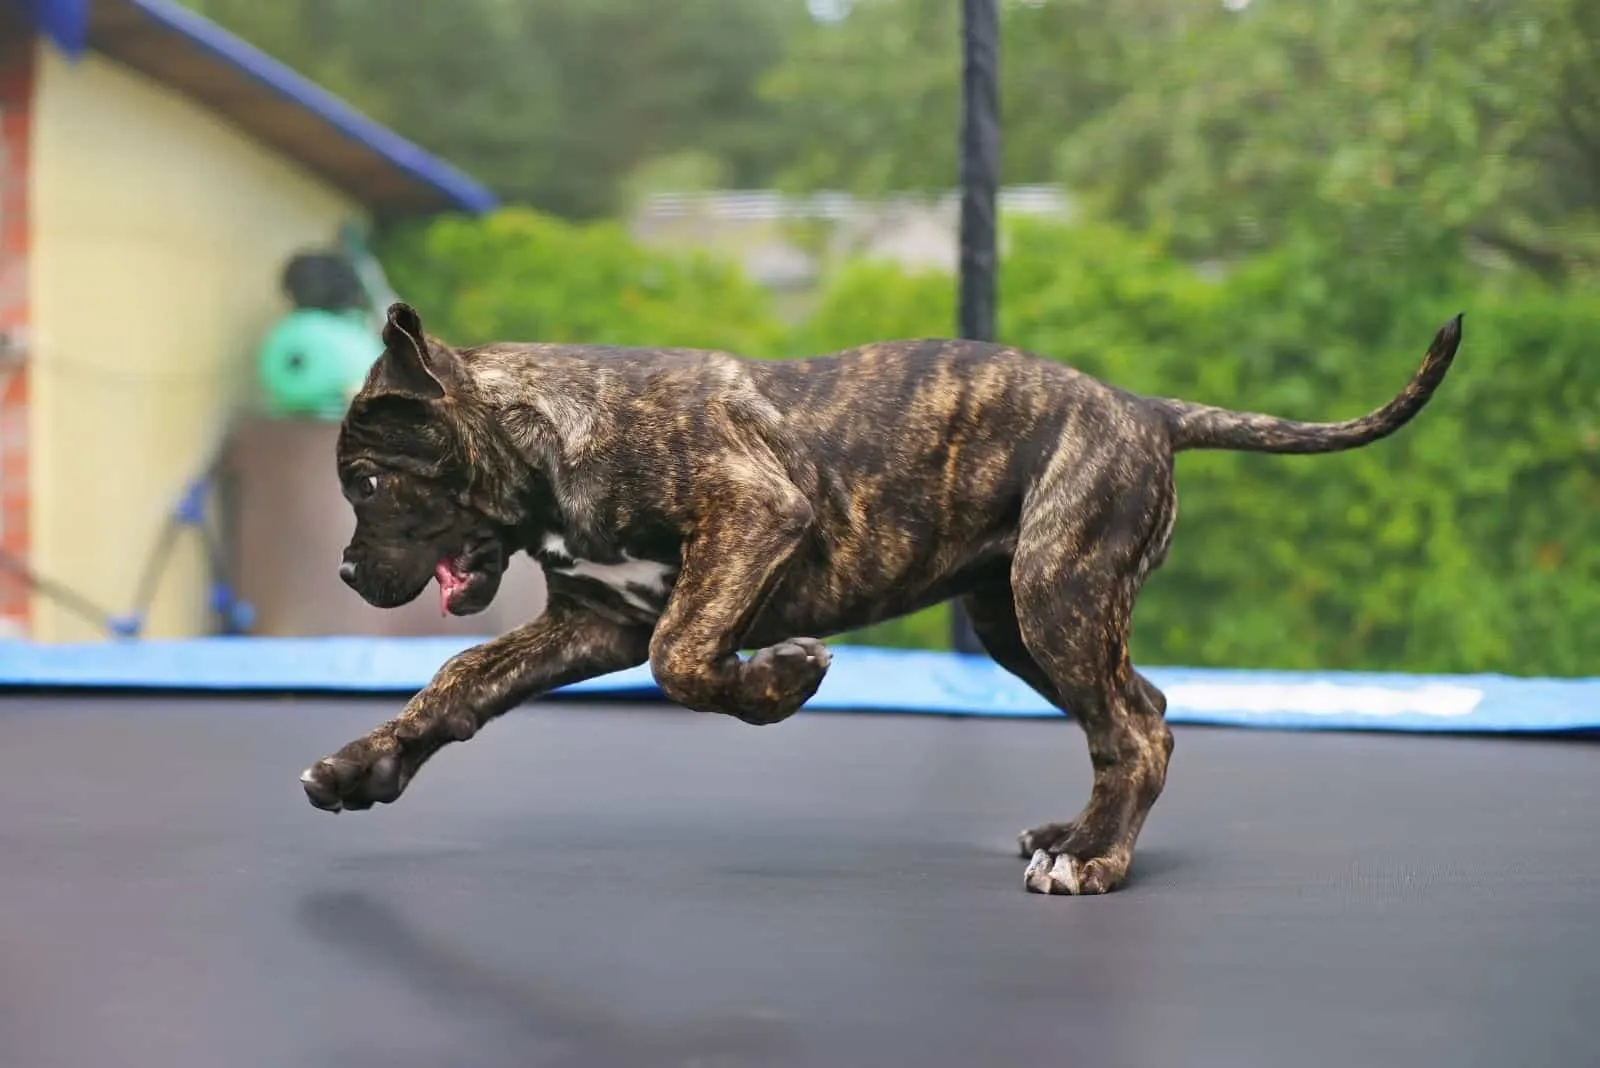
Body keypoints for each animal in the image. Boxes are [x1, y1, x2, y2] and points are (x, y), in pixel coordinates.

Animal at [300, 298, 1465, 895]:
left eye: (369, 483)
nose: (349, 575)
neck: (548, 447)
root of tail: (1144, 409)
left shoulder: (751, 516)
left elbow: (687, 659)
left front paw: (784, 677)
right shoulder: (592, 622)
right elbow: (458, 682)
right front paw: (362, 769)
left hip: (1057, 592)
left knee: (1135, 729)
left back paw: (1095, 862)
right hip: (1019, 619)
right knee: (1138, 714)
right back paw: (1079, 835)